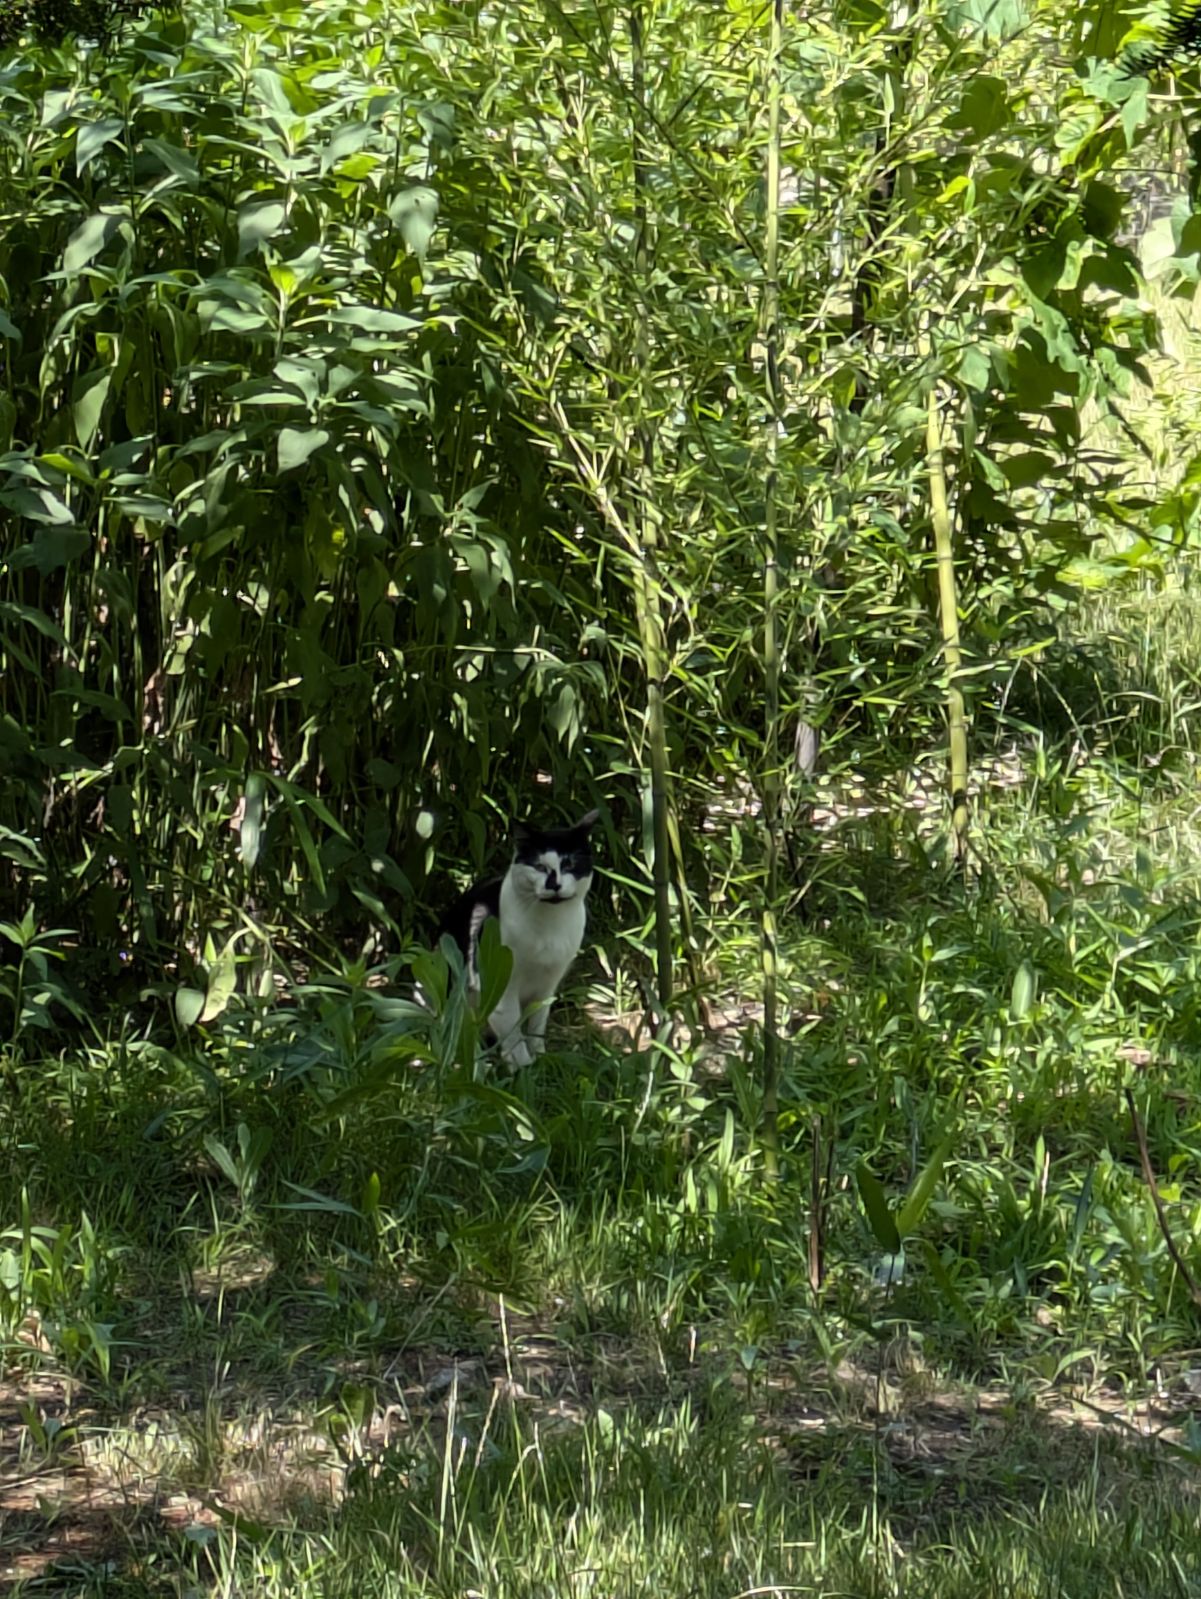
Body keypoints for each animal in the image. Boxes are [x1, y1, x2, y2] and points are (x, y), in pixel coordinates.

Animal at [436, 809, 599, 1067]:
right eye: (539, 866)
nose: (554, 884)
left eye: (570, 864)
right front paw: (525, 1068)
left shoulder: (548, 985)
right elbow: (514, 1035)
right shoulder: (501, 988)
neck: (550, 926)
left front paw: (542, 1058)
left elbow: (536, 1024)